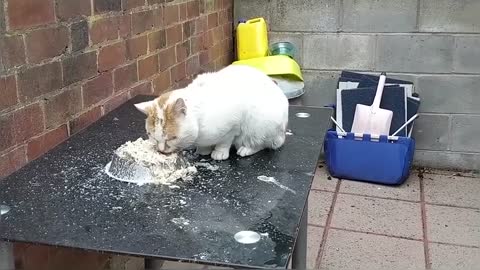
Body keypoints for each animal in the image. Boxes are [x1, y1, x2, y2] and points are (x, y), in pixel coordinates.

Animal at [133, 64, 286, 160]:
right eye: (151, 136)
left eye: (172, 138)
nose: (161, 150)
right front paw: (203, 151)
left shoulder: (232, 125)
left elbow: (225, 141)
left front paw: (219, 153)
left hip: (261, 126)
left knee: (262, 144)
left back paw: (246, 149)